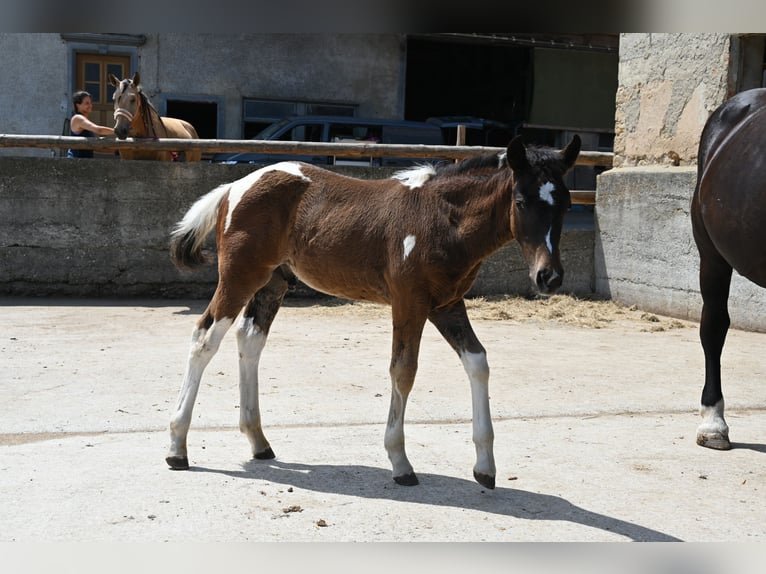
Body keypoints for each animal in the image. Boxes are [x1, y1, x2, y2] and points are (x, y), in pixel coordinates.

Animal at [166, 134, 581, 488]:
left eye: (565, 204)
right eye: (521, 201)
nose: (549, 277)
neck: (444, 221)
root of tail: (234, 187)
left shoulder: (447, 304)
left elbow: (478, 362)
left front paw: (485, 468)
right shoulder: (409, 301)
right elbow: (403, 370)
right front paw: (400, 462)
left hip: (273, 283)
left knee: (250, 340)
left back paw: (258, 441)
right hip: (240, 277)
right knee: (204, 338)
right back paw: (177, 448)